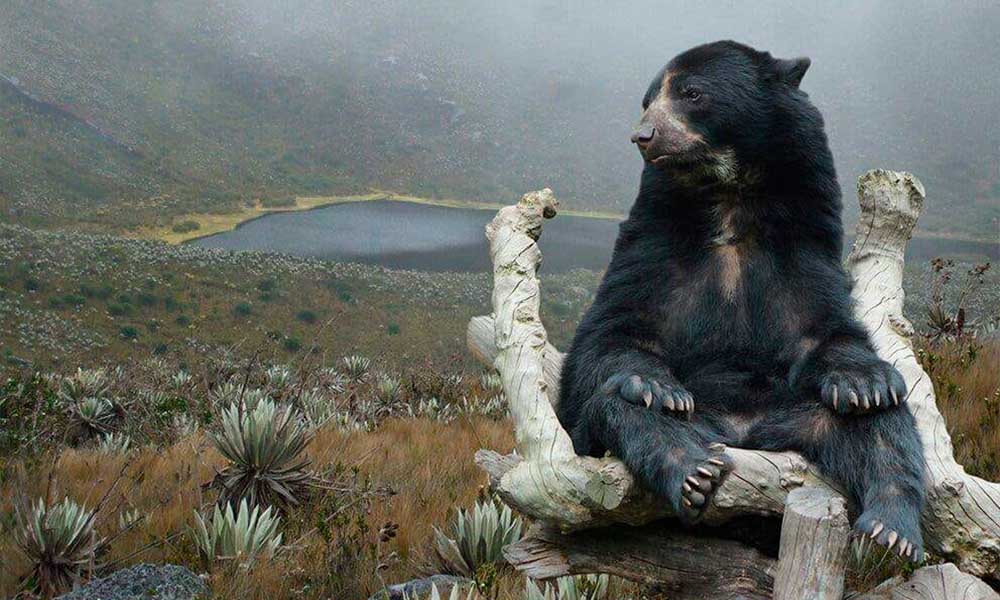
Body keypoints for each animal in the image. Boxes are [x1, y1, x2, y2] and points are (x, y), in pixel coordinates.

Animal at [560, 39, 924, 560]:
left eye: (692, 93)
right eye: (647, 100)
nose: (644, 135)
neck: (728, 195)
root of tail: (742, 431)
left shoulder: (803, 240)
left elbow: (824, 329)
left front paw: (863, 382)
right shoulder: (654, 239)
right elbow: (613, 333)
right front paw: (656, 385)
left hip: (799, 414)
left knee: (882, 428)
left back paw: (890, 529)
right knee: (625, 410)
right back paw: (693, 470)